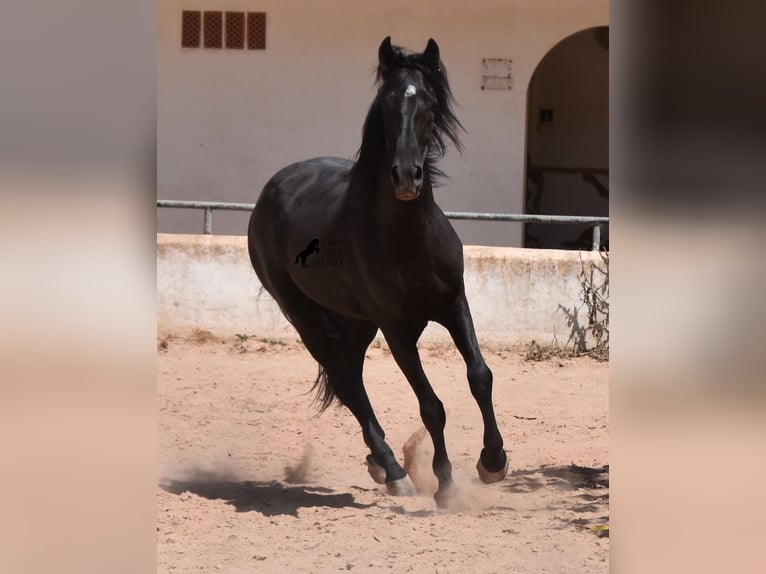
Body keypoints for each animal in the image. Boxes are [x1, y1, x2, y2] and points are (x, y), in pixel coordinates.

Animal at [249, 36, 508, 506]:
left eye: (428, 103)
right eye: (386, 104)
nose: (406, 176)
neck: (408, 241)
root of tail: (273, 188)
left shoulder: (454, 303)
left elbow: (480, 376)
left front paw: (493, 462)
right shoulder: (397, 329)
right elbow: (431, 405)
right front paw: (445, 485)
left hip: (356, 320)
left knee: (350, 374)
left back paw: (382, 466)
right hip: (305, 316)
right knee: (346, 382)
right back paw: (395, 472)